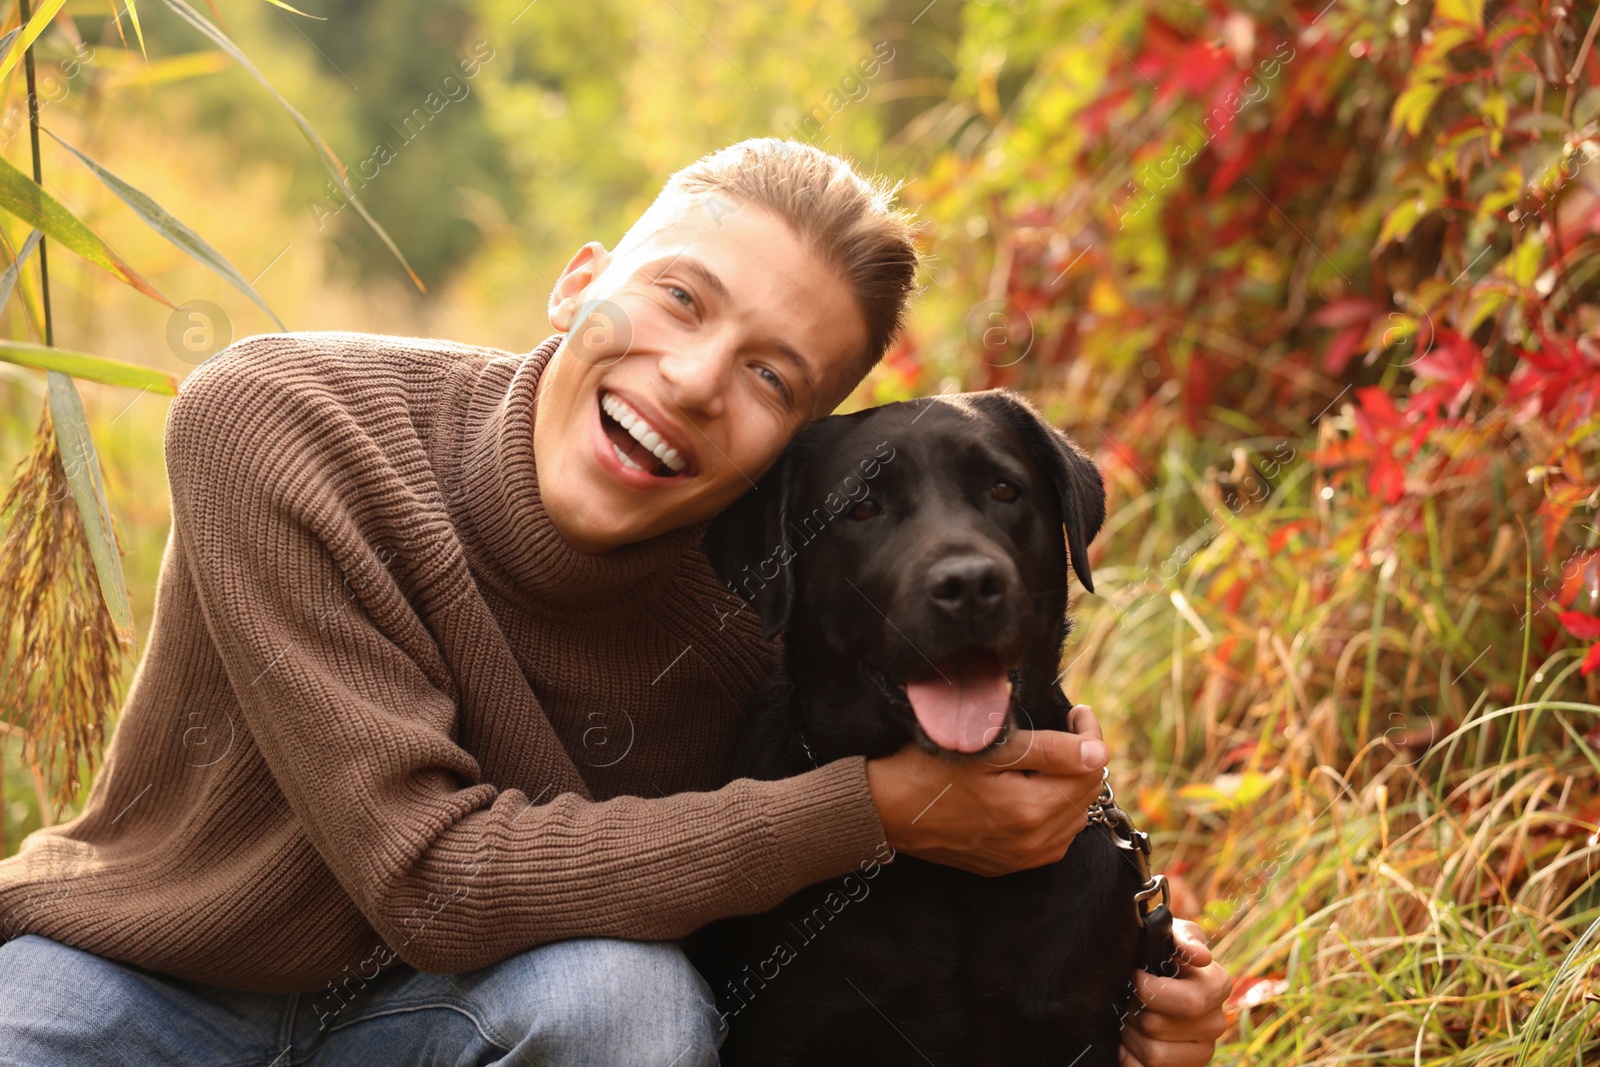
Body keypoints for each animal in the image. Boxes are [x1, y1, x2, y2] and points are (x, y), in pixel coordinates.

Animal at [691, 391, 1177, 1067]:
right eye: (862, 507)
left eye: (1004, 490)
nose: (968, 583)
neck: (948, 878)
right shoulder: (792, 1028)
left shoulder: (1077, 1023)